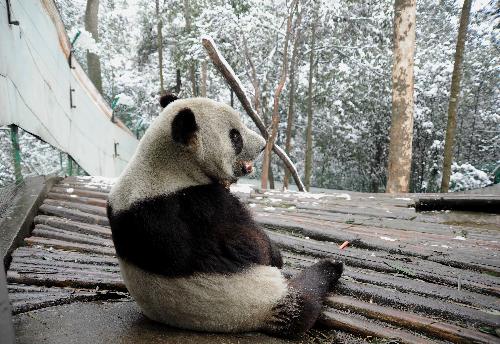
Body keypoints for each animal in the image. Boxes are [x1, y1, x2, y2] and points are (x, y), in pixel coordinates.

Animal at [108, 94, 344, 338]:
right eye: (235, 136)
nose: (262, 145)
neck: (167, 164)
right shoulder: (195, 206)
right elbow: (248, 244)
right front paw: (274, 254)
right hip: (256, 295)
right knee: (304, 300)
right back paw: (330, 266)